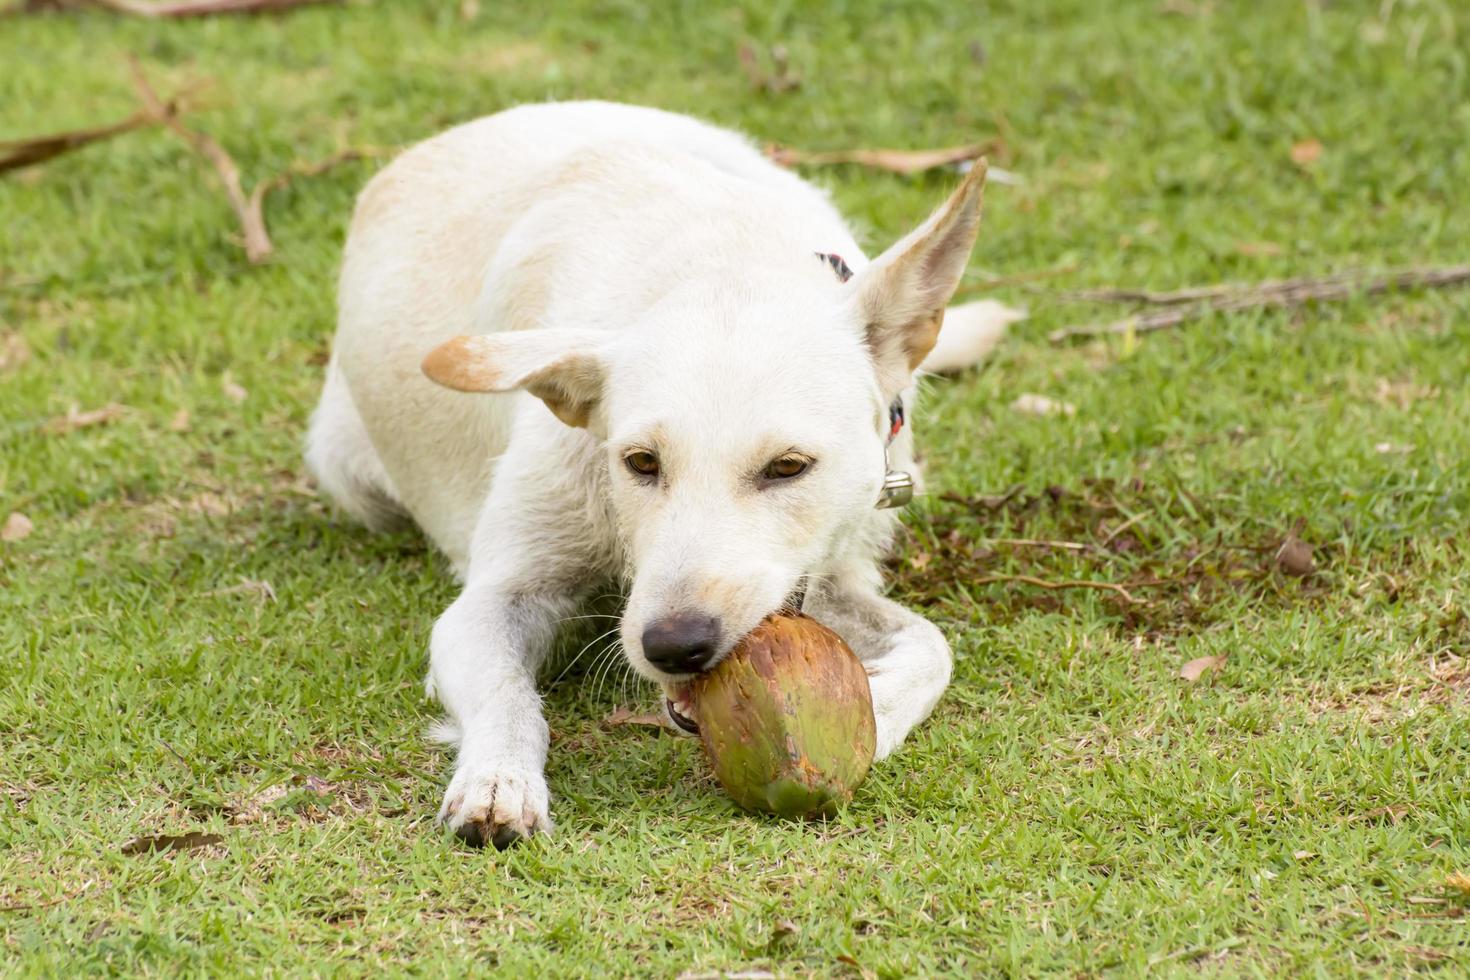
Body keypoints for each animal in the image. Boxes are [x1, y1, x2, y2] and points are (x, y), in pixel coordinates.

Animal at [307, 101, 1023, 852]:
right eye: (640, 462)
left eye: (788, 467)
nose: (674, 647)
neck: (721, 261)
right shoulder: (493, 600)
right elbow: (508, 696)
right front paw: (498, 779)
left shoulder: (834, 577)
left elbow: (935, 644)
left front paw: (877, 713)